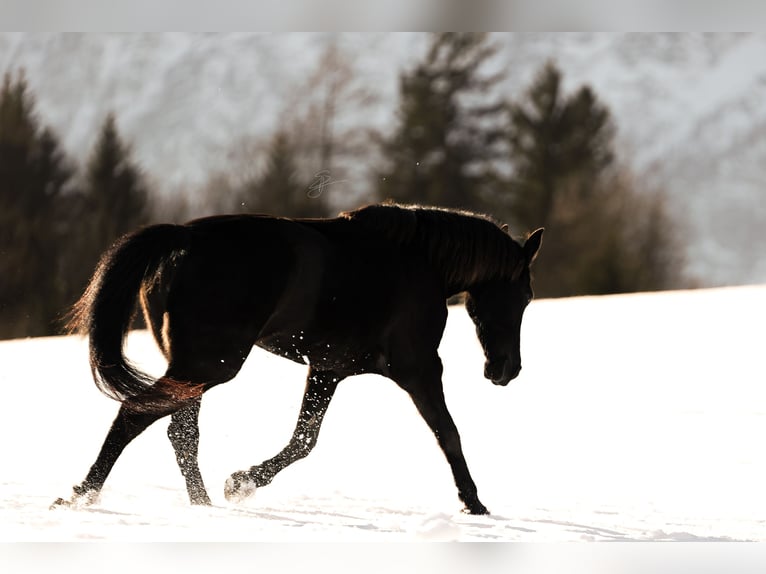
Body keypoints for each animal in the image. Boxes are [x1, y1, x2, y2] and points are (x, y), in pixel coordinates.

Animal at [52, 203, 543, 515]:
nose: (506, 370)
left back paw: (202, 504)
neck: (420, 264)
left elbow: (304, 439)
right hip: (209, 365)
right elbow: (448, 434)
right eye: (524, 295)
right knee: (137, 414)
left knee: (179, 432)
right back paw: (83, 495)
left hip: (194, 367)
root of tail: (185, 237)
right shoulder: (418, 367)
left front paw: (241, 482)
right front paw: (474, 503)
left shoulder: (327, 369)